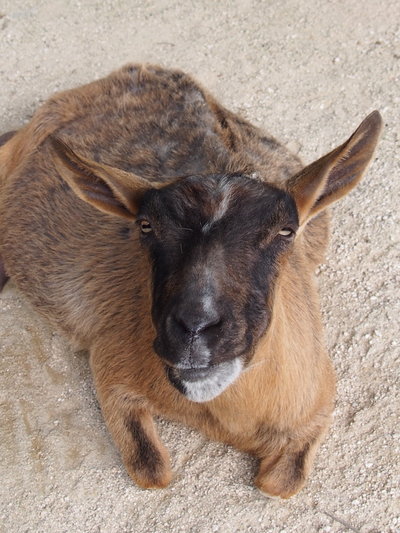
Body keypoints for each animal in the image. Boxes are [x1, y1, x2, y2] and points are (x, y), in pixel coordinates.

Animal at [0, 64, 382, 496]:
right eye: (145, 225)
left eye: (286, 231)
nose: (194, 329)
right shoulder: (111, 369)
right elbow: (152, 470)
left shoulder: (318, 402)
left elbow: (278, 483)